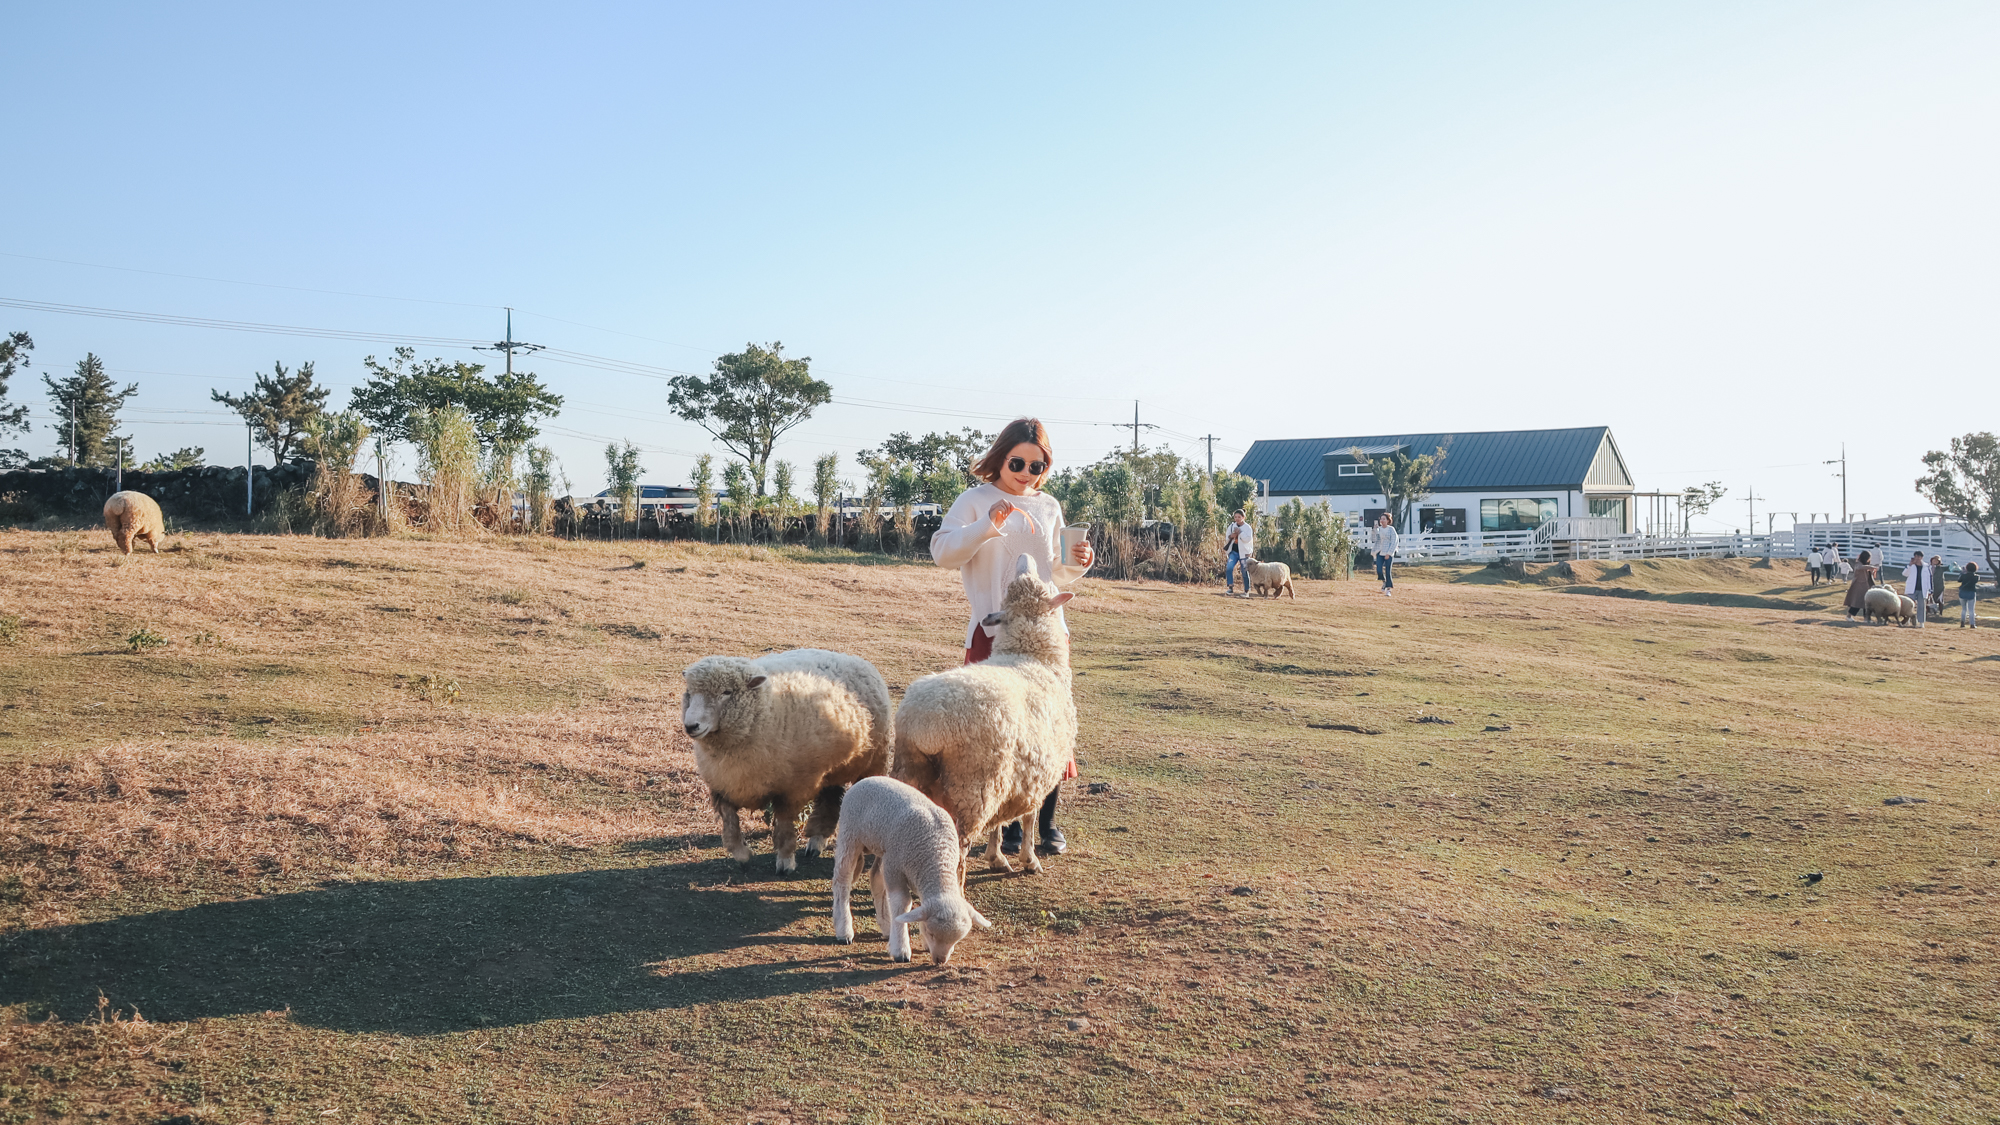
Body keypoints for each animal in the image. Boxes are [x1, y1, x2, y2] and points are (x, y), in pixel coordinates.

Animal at [680, 644, 892, 872]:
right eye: (690, 693)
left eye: (726, 692)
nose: (691, 726)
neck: (766, 710)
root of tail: (849, 657)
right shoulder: (723, 786)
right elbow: (730, 822)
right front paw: (741, 854)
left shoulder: (792, 789)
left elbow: (784, 825)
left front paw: (785, 861)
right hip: (831, 768)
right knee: (830, 798)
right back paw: (816, 841)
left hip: (871, 760)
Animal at [828, 768, 992, 964]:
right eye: (931, 932)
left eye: (957, 940)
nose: (940, 961)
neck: (936, 855)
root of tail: (866, 779)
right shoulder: (895, 867)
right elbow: (902, 904)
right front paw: (901, 949)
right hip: (850, 834)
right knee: (842, 880)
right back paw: (844, 930)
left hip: (883, 849)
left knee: (875, 878)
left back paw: (886, 925)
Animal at [892, 552, 1080, 876]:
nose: (1025, 555)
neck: (1031, 656)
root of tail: (924, 726)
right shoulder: (1040, 770)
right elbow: (1028, 817)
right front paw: (1029, 860)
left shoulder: (1015, 775)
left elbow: (1000, 820)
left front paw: (997, 856)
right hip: (974, 787)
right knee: (959, 848)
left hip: (913, 772)